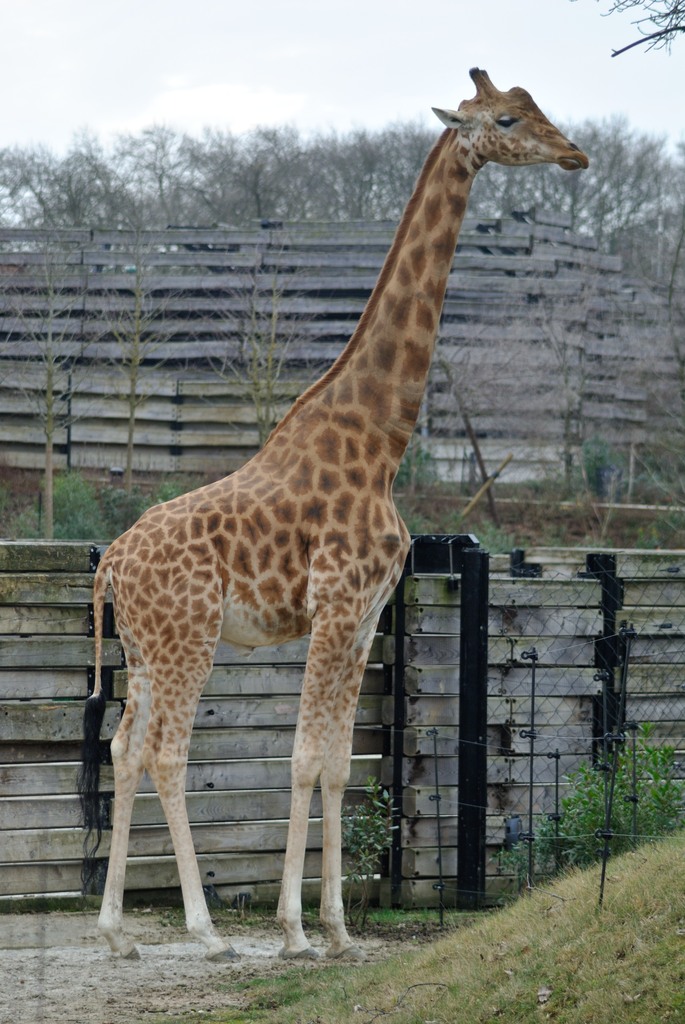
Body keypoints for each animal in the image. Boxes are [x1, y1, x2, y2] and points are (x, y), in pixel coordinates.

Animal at [79, 68, 588, 962]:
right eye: (504, 120)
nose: (575, 154)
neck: (380, 439)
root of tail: (111, 560)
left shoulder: (365, 620)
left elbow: (342, 765)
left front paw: (339, 928)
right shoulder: (337, 608)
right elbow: (301, 759)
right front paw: (293, 930)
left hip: (144, 648)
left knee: (125, 746)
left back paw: (116, 933)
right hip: (188, 640)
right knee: (170, 754)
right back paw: (206, 932)